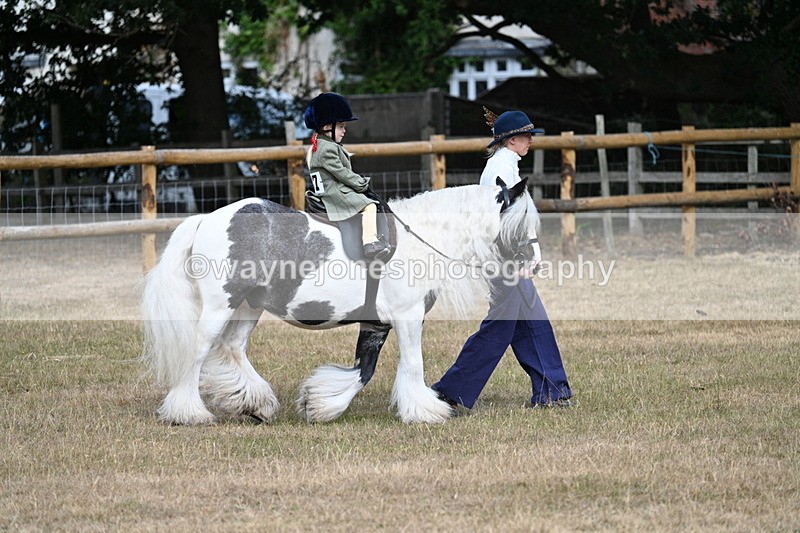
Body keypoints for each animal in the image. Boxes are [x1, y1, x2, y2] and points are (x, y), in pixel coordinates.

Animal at [140, 177, 541, 425]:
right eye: (523, 221)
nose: (535, 264)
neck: (420, 239)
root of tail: (206, 219)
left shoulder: (376, 324)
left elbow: (364, 369)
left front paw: (321, 404)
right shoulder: (408, 317)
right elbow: (412, 364)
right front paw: (425, 411)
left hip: (248, 307)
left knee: (233, 347)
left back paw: (258, 404)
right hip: (220, 305)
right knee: (198, 351)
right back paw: (189, 412)